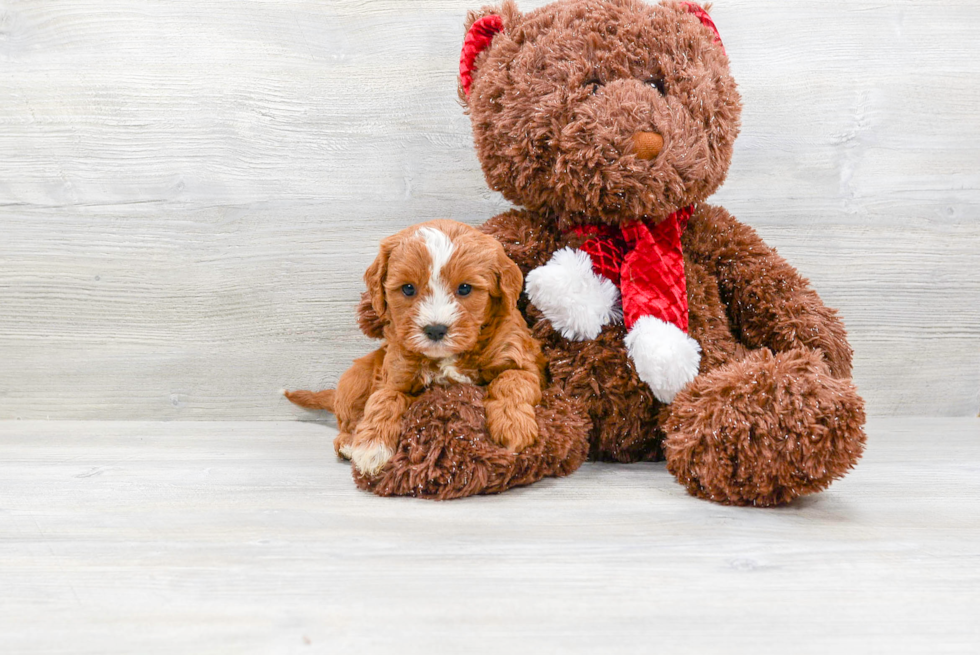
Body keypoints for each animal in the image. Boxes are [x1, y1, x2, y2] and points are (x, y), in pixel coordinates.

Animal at [286, 220, 544, 476]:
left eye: (465, 288)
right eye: (408, 289)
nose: (436, 330)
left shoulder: (520, 360)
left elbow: (510, 381)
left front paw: (513, 426)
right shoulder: (395, 375)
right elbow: (384, 400)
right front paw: (372, 447)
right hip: (355, 379)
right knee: (347, 419)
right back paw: (348, 442)